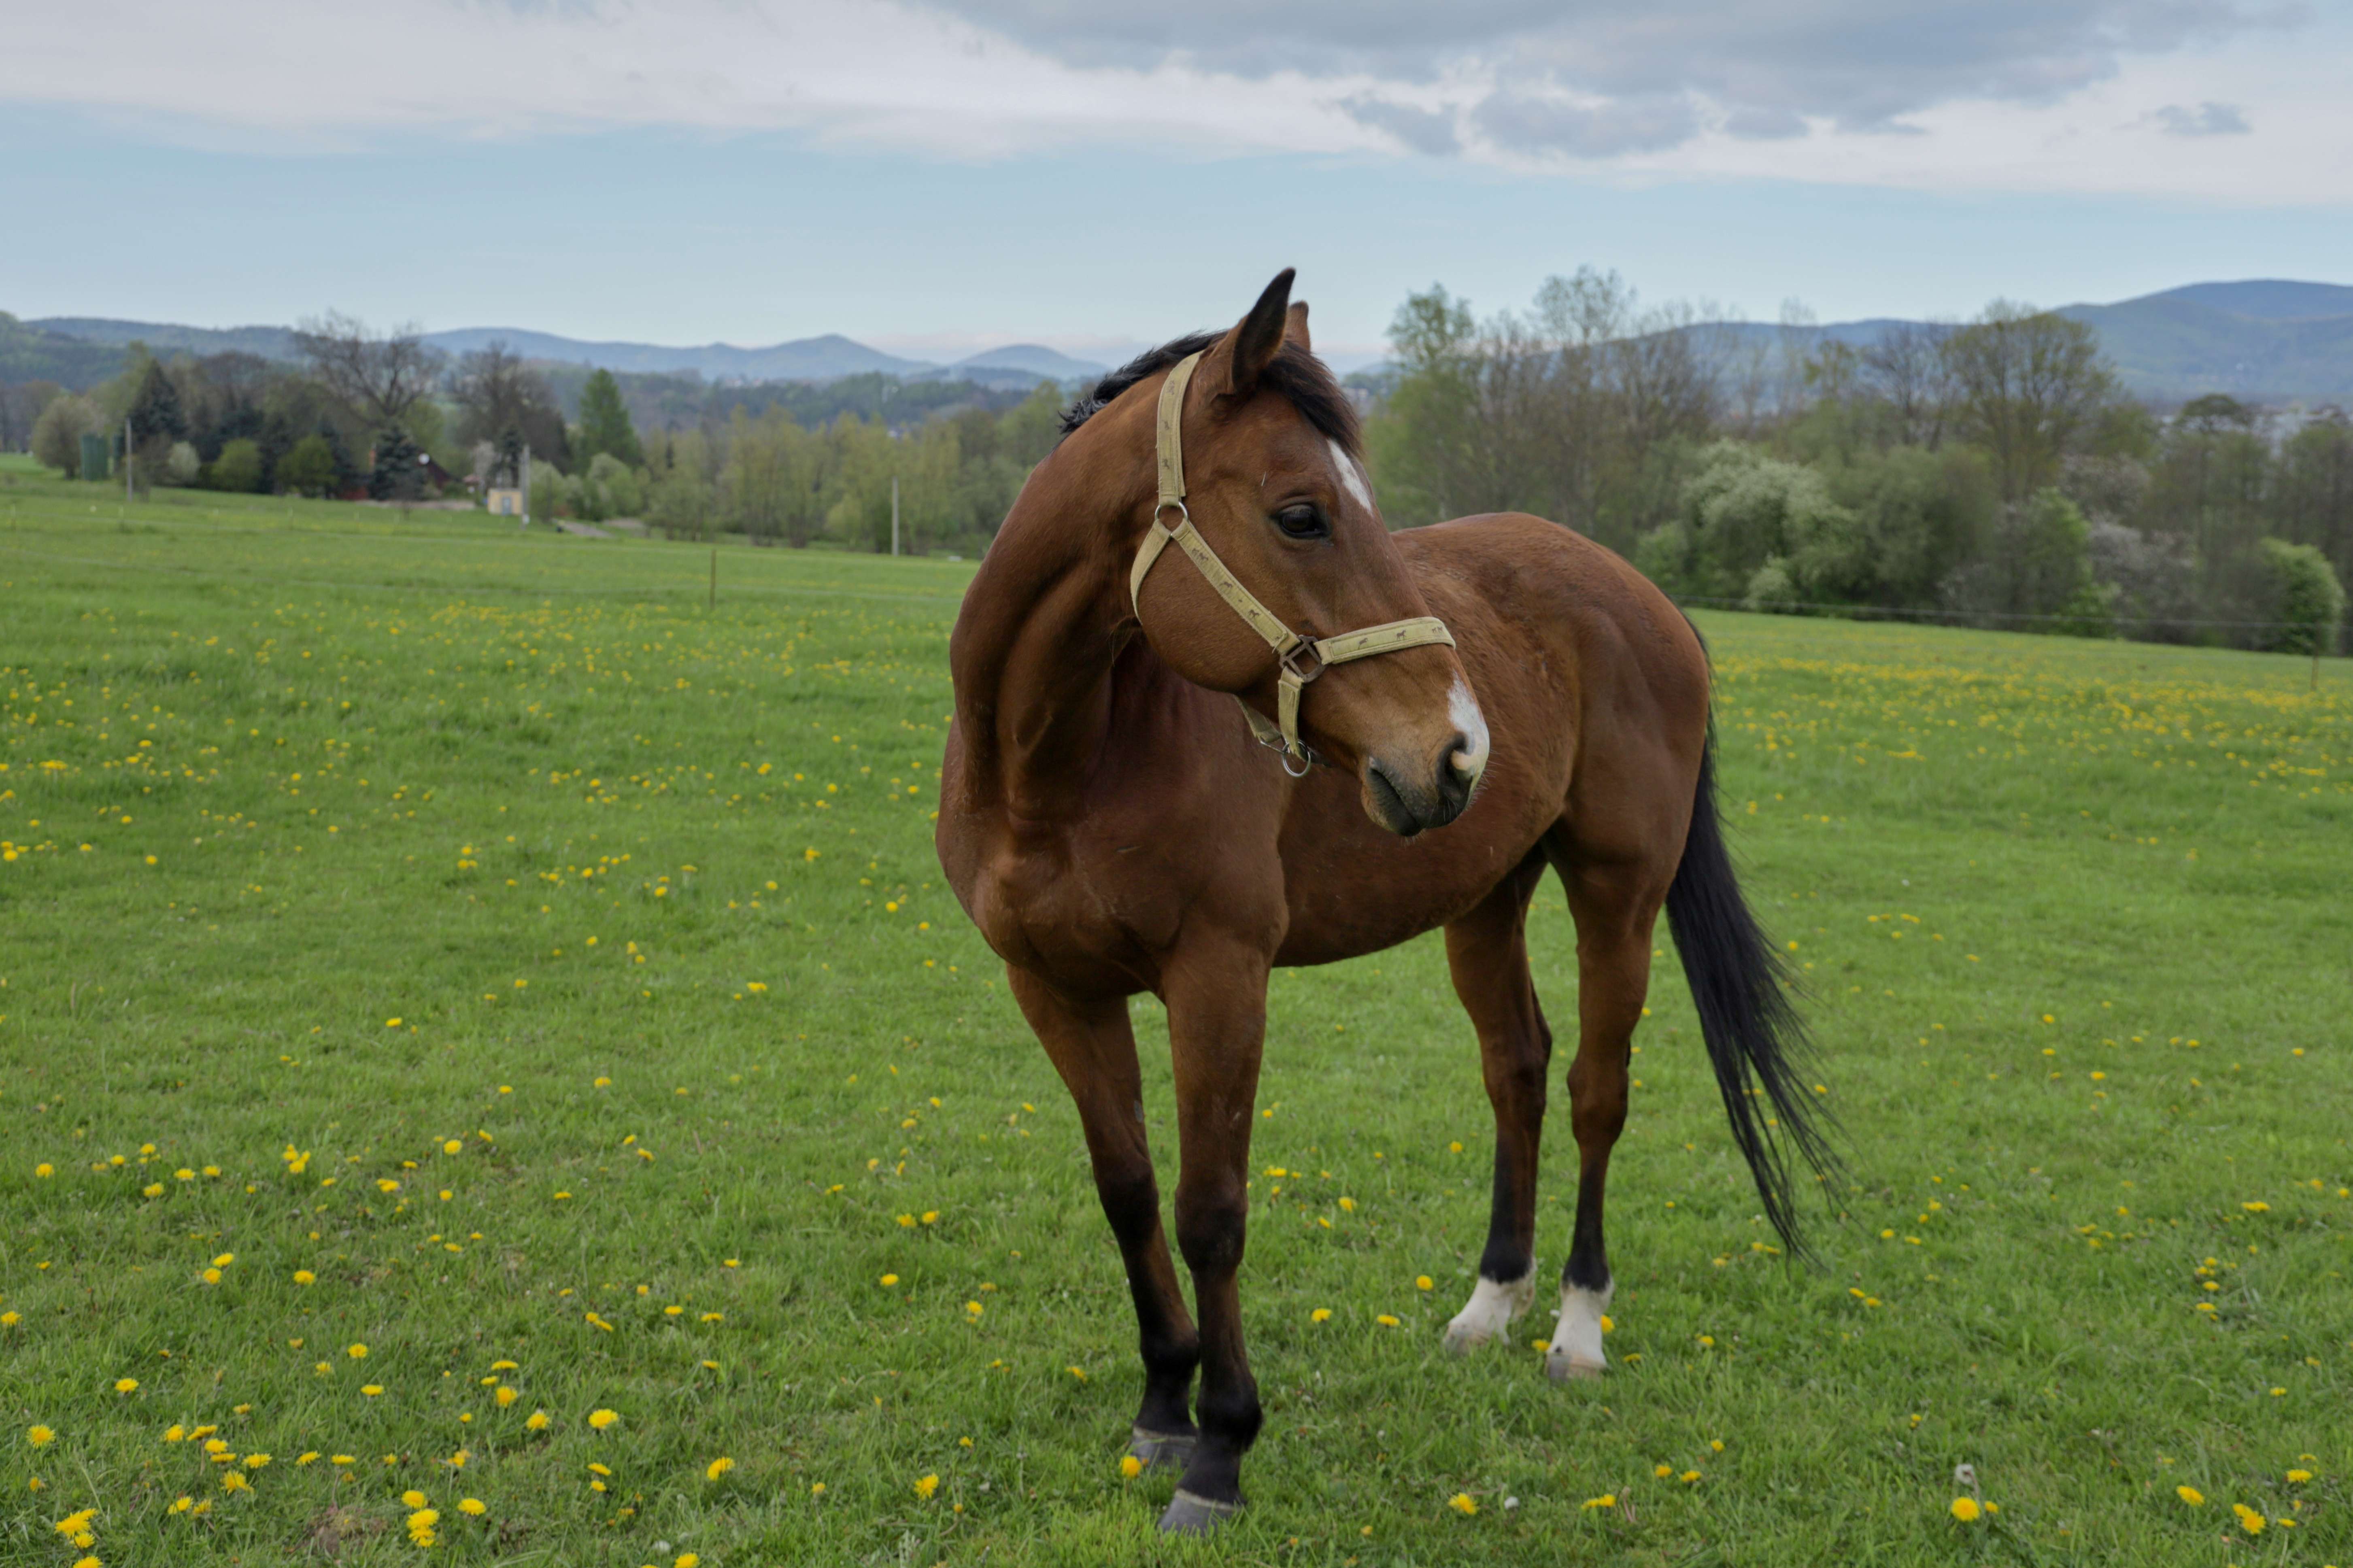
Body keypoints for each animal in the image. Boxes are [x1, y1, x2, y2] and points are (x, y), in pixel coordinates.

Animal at [927, 266, 1826, 1526]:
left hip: (1618, 891)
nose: (1456, 750)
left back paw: (1574, 1327)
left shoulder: (1219, 981)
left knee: (1596, 1091)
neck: (1056, 767)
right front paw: (1160, 1405)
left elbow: (1212, 1210)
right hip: (1485, 898)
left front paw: (1220, 1446)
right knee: (1517, 1068)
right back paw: (1488, 1304)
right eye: (1302, 513)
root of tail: (1640, 595)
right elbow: (1129, 1191)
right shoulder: (1054, 988)